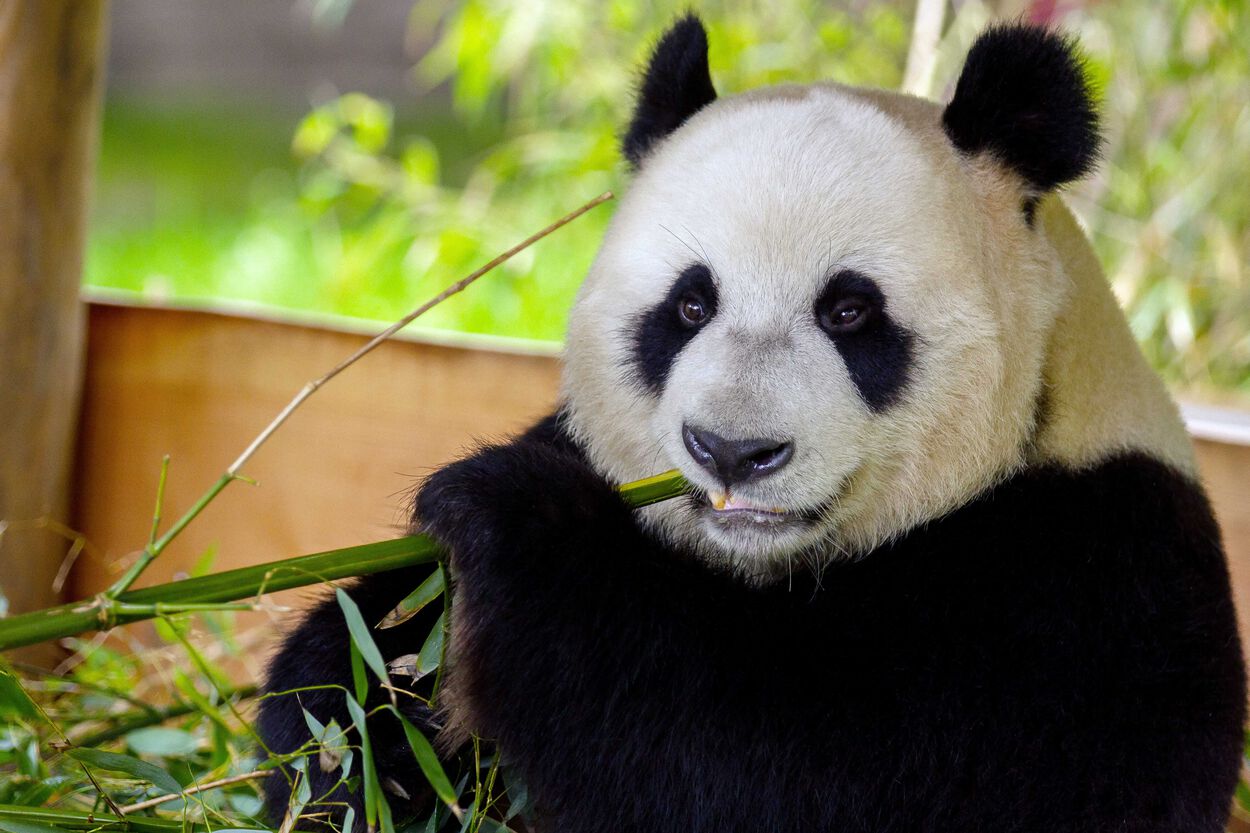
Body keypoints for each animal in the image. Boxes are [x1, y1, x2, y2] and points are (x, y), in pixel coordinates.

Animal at [258, 16, 1247, 833]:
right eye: (690, 305)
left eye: (850, 313)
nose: (733, 451)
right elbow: (357, 667)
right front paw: (361, 733)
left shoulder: (1085, 588)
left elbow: (774, 770)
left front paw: (507, 517)